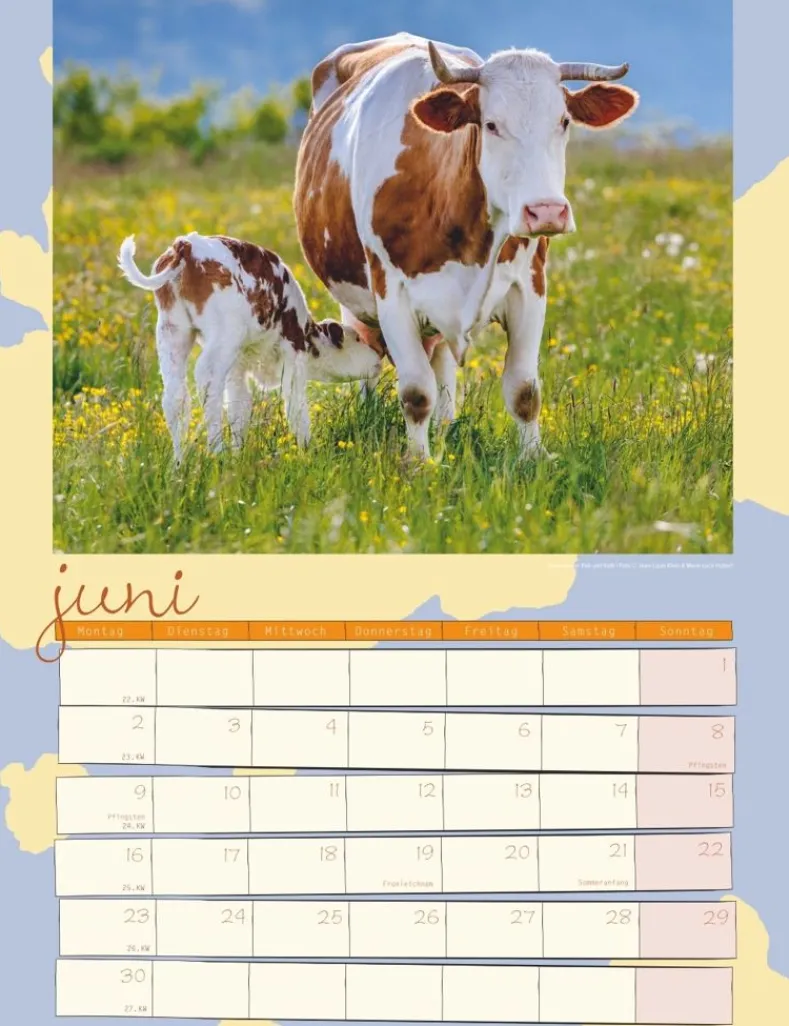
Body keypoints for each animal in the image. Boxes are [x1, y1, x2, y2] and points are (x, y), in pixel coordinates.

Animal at [294, 32, 638, 459]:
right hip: (352, 300)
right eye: (491, 124)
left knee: (442, 366)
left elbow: (524, 390)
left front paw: (532, 458)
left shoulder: (530, 287)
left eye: (563, 121)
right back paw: (372, 416)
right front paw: (418, 462)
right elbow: (415, 392)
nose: (546, 211)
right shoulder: (392, 293)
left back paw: (446, 429)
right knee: (369, 360)